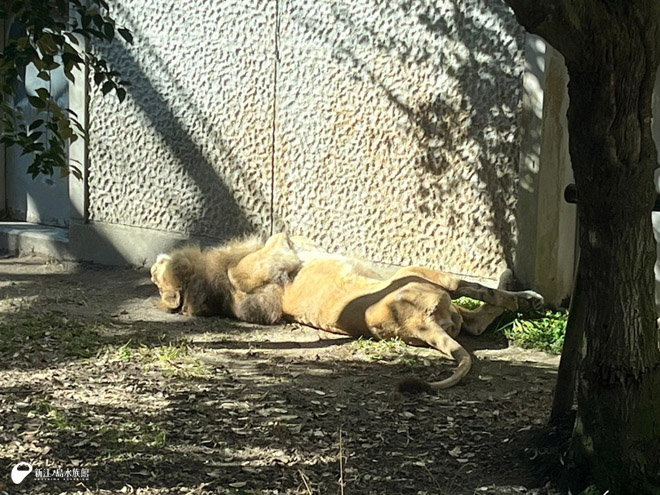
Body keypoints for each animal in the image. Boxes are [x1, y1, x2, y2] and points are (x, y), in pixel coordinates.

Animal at [152, 234, 544, 394]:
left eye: (156, 279)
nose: (153, 266)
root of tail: (420, 324)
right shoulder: (250, 272)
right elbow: (273, 244)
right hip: (421, 275)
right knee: (480, 295)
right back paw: (526, 295)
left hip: (437, 300)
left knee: (476, 321)